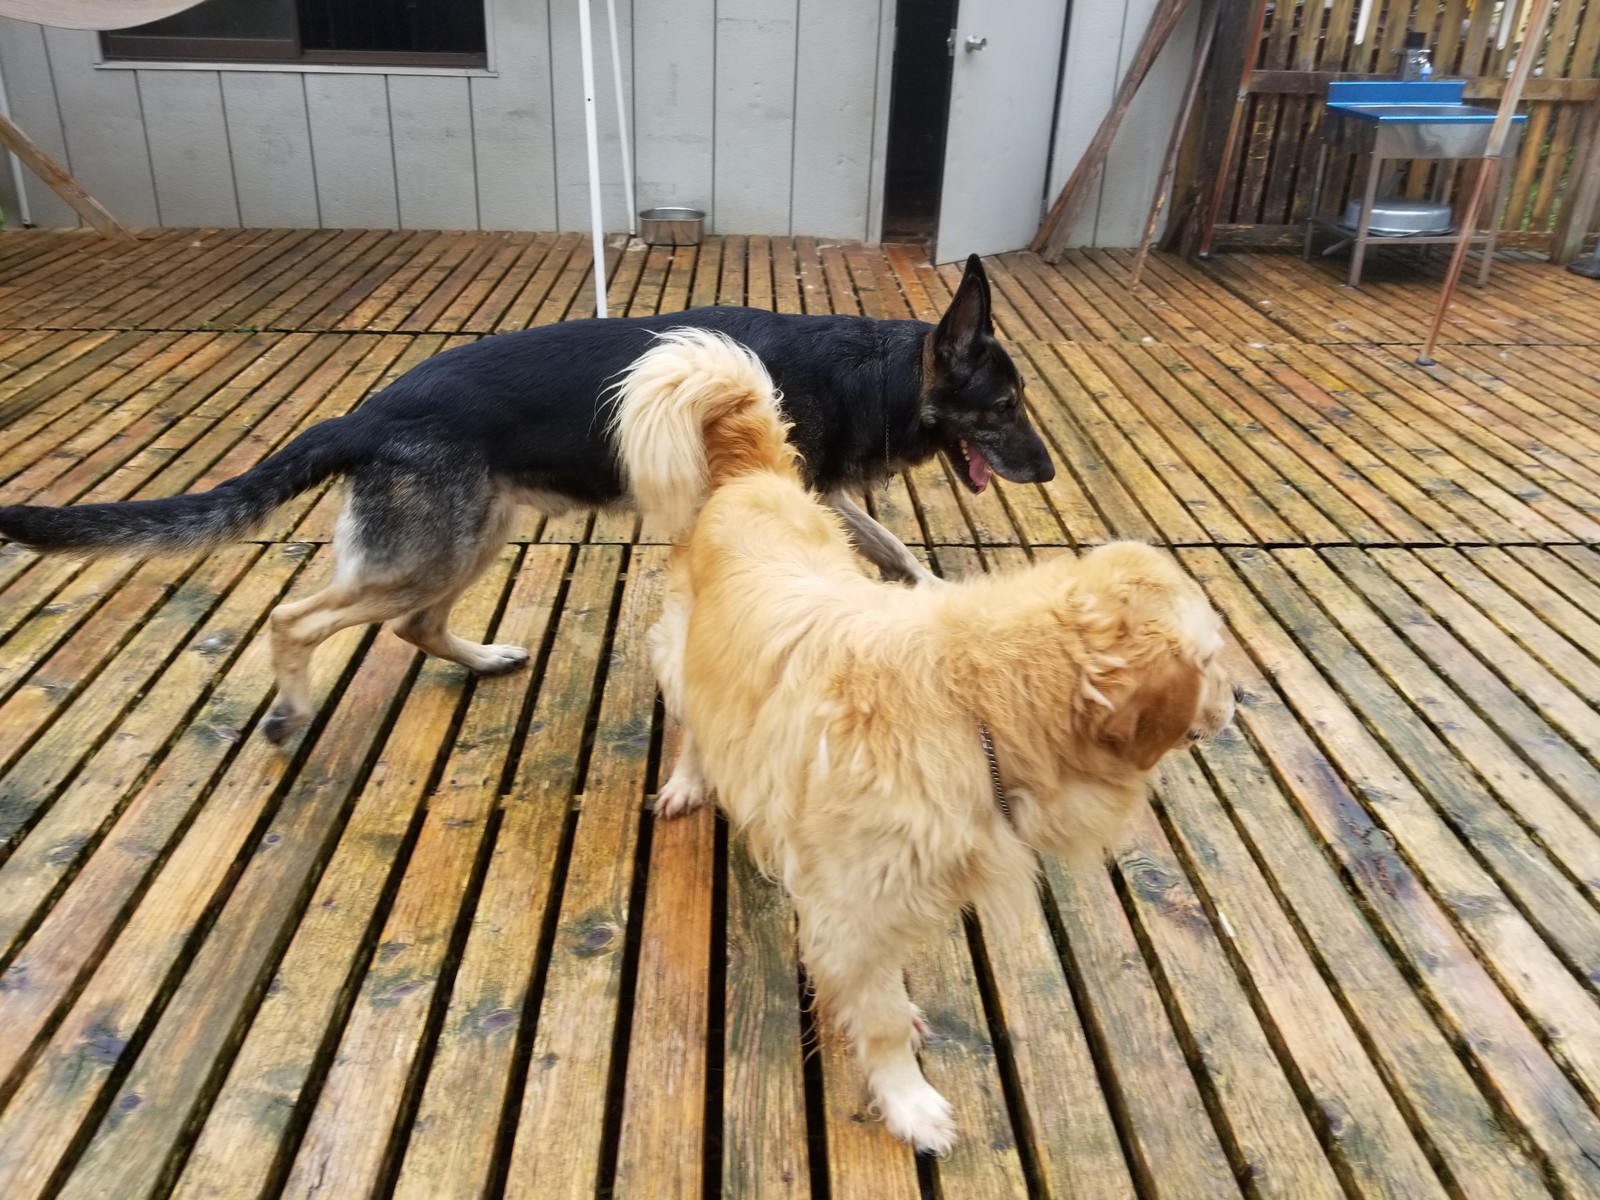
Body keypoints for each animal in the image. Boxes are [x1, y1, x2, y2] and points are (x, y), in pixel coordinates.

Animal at [0, 255, 1053, 744]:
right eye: (1004, 408)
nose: (1045, 472)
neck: (874, 371)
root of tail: (364, 412)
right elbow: (883, 550)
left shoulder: (815, 497)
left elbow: (895, 552)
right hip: (432, 550)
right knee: (299, 617)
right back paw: (294, 706)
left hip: (474, 538)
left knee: (415, 626)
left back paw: (482, 657)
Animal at [641, 329, 1235, 1153]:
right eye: (1212, 660)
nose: (1239, 702)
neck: (972, 702)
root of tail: (754, 472)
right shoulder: (853, 905)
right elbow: (884, 1019)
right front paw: (910, 1103)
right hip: (680, 657)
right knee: (694, 726)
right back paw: (689, 782)